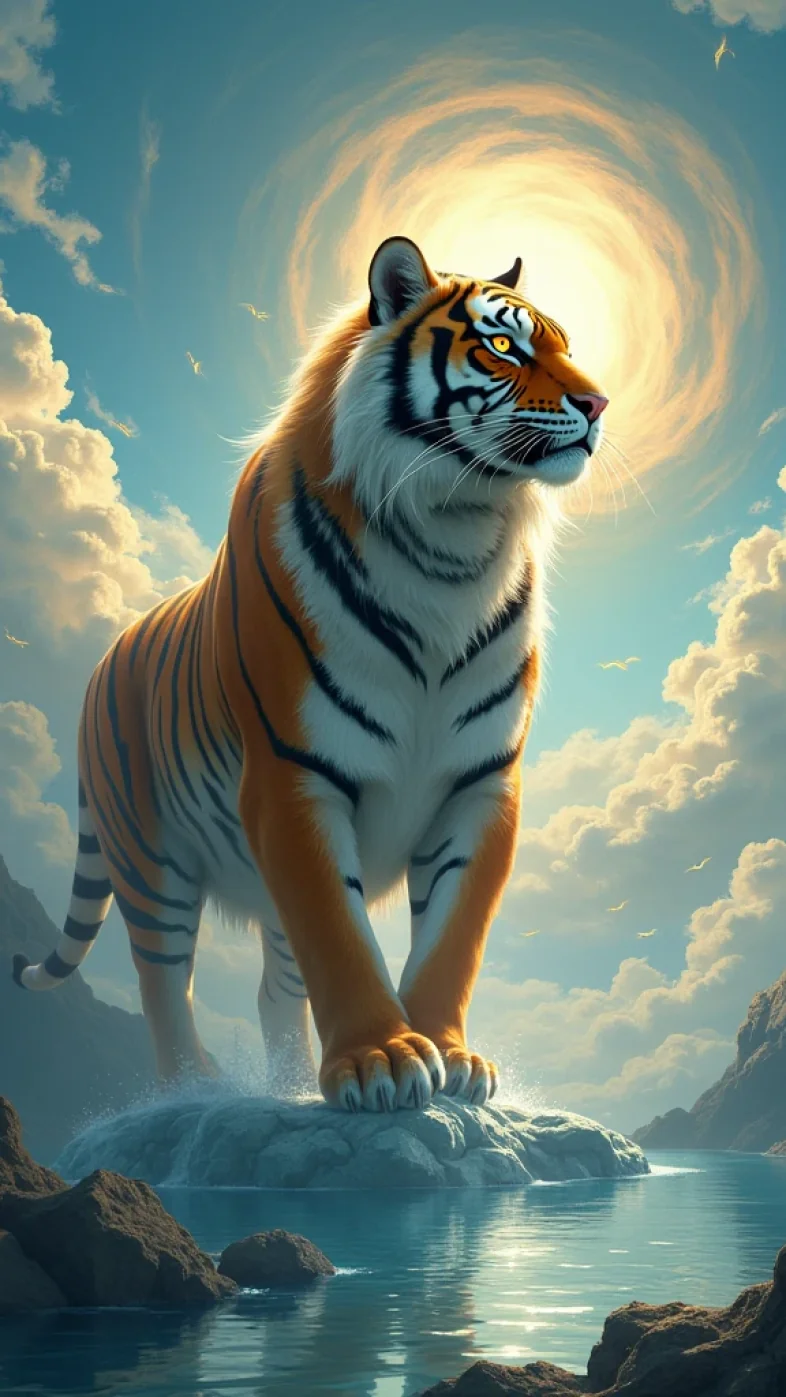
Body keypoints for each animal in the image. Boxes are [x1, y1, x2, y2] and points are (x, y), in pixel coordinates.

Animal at [13, 236, 608, 1113]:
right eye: (503, 344)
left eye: (566, 343)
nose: (599, 404)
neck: (453, 539)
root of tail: (105, 657)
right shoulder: (292, 777)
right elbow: (340, 936)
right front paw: (381, 1062)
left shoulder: (483, 786)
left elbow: (452, 937)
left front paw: (449, 1055)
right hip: (149, 861)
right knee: (164, 986)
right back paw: (192, 1088)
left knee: (271, 990)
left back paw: (289, 1086)